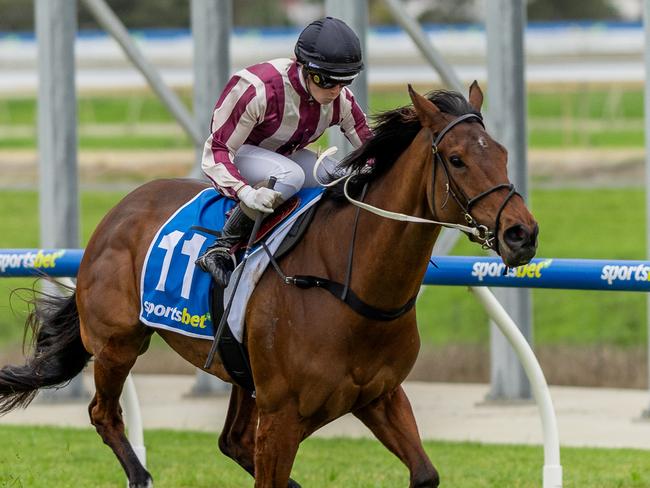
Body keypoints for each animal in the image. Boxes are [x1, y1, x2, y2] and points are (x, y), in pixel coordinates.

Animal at [0, 85, 536, 488]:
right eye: (457, 159)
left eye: (504, 153)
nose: (522, 234)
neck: (350, 284)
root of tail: (116, 212)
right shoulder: (282, 416)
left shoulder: (379, 395)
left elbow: (424, 474)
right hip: (118, 343)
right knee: (103, 413)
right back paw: (140, 475)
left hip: (240, 369)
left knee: (230, 441)